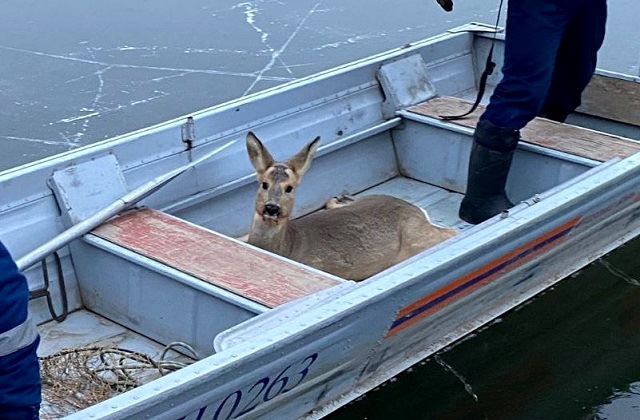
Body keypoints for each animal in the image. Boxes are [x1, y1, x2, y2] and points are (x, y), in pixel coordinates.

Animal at [242, 133, 458, 280]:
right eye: (264, 184)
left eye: (290, 188)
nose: (272, 208)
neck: (288, 247)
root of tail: (418, 210)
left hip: (417, 238)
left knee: (451, 232)